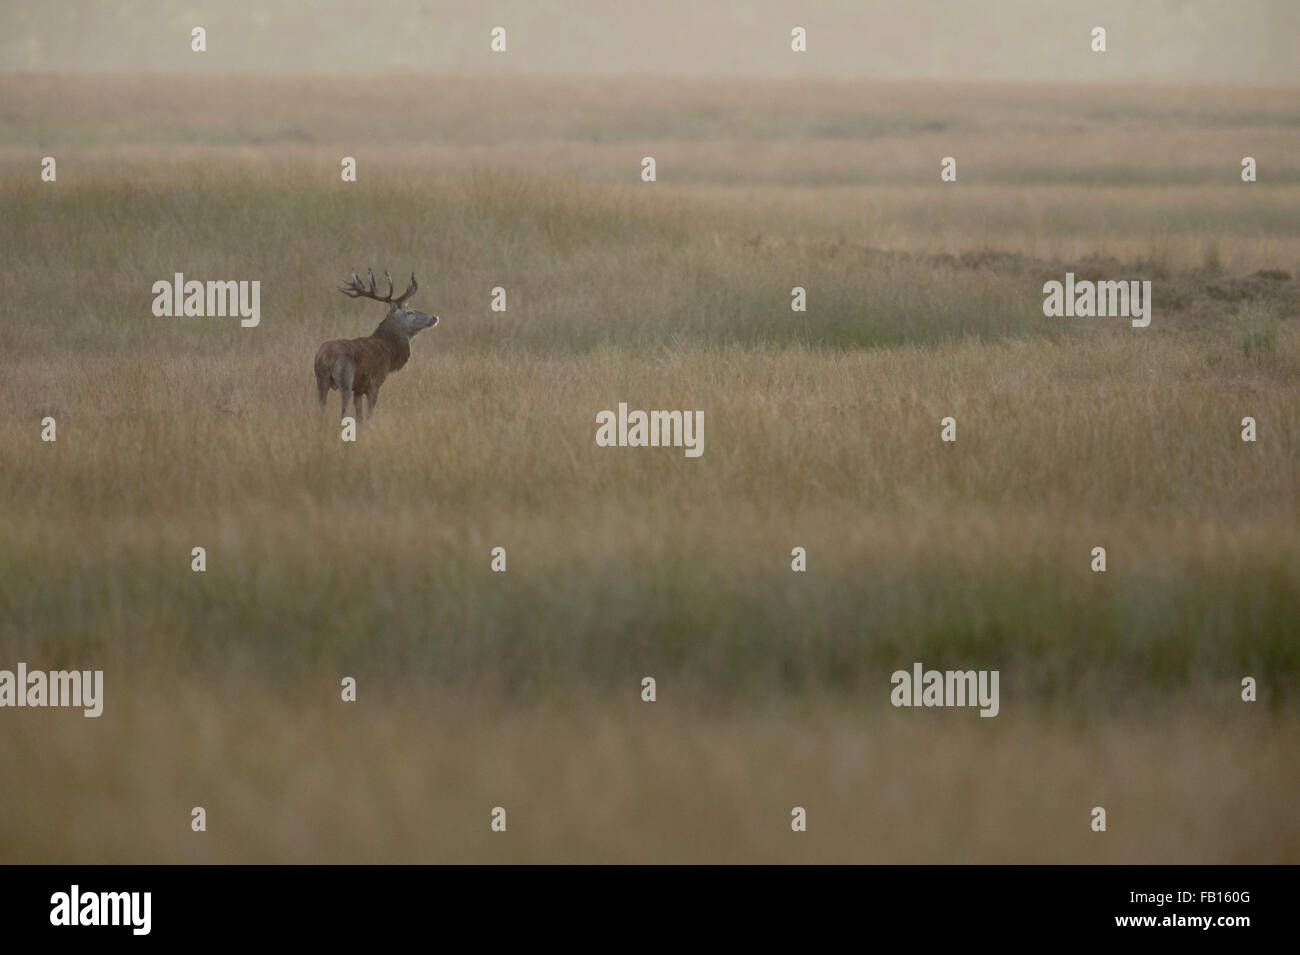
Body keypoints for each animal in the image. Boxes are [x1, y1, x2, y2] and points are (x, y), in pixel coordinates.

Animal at [313, 267, 436, 420]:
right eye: (409, 312)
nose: (434, 317)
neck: (389, 353)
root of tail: (326, 357)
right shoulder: (374, 383)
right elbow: (369, 413)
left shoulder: (359, 388)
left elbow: (359, 415)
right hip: (345, 379)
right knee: (343, 410)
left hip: (321, 380)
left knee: (322, 407)